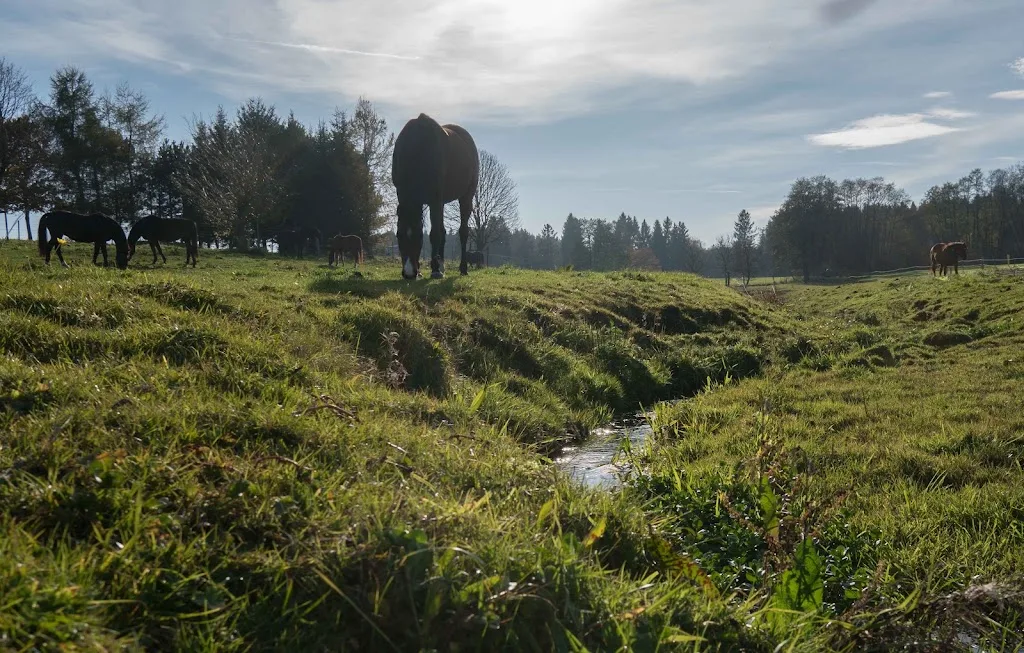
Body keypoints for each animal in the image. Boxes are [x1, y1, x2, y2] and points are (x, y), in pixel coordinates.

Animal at [392, 113, 479, 279]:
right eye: (398, 235)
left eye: (420, 236)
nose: (409, 273)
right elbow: (438, 232)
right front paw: (429, 269)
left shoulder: (434, 199)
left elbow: (434, 234)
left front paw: (435, 270)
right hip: (442, 202)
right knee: (443, 231)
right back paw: (442, 265)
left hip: (466, 197)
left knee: (463, 232)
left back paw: (462, 268)